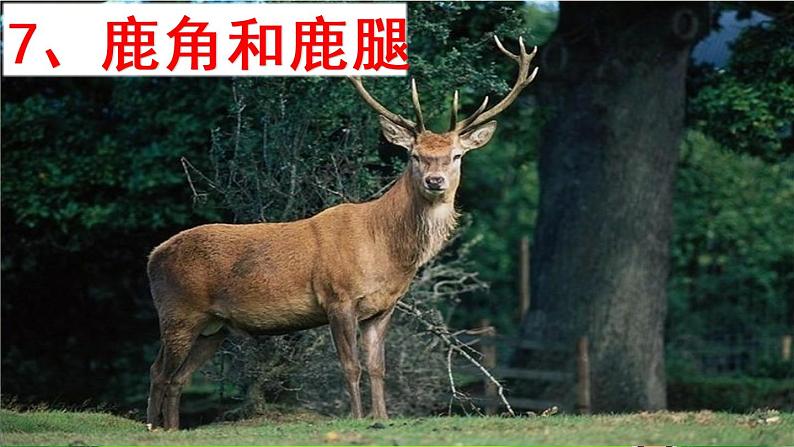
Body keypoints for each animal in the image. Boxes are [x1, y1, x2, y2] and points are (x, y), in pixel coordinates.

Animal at [146, 36, 538, 430]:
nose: (435, 181)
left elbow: (378, 367)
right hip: (178, 310)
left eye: (456, 156)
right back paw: (152, 426)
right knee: (158, 371)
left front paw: (382, 417)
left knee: (177, 377)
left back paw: (171, 428)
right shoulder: (338, 297)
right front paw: (358, 418)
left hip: (215, 326)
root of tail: (152, 256)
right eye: (413, 155)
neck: (386, 251)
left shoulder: (382, 308)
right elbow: (351, 367)